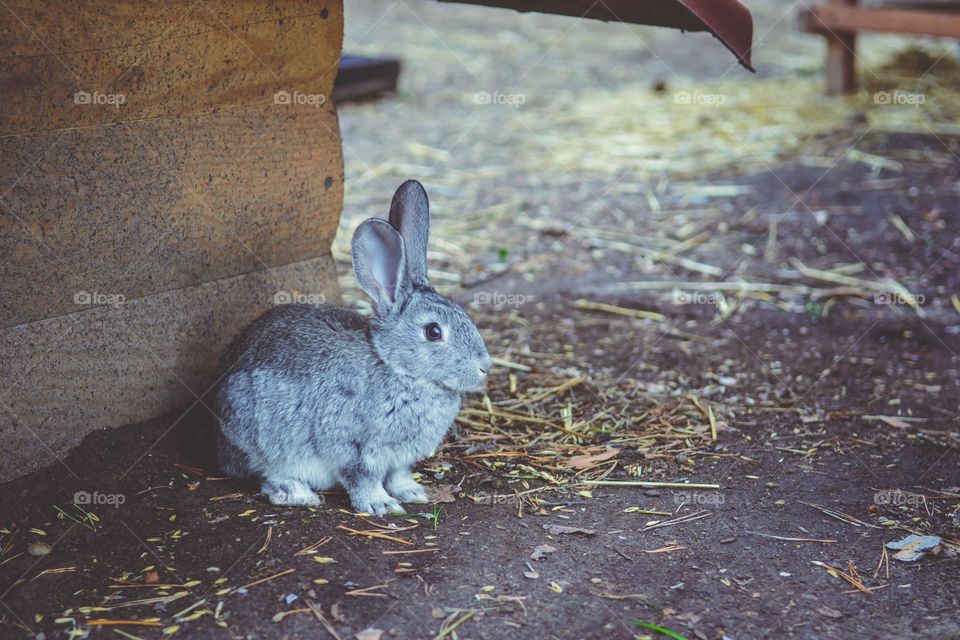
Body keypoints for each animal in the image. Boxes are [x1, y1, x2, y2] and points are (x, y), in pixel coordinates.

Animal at [214, 180, 492, 516]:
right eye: (433, 332)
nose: (484, 366)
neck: (397, 369)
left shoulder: (398, 459)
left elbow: (398, 475)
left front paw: (412, 492)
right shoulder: (352, 447)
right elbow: (361, 478)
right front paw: (380, 504)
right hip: (259, 438)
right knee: (266, 476)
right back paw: (297, 493)